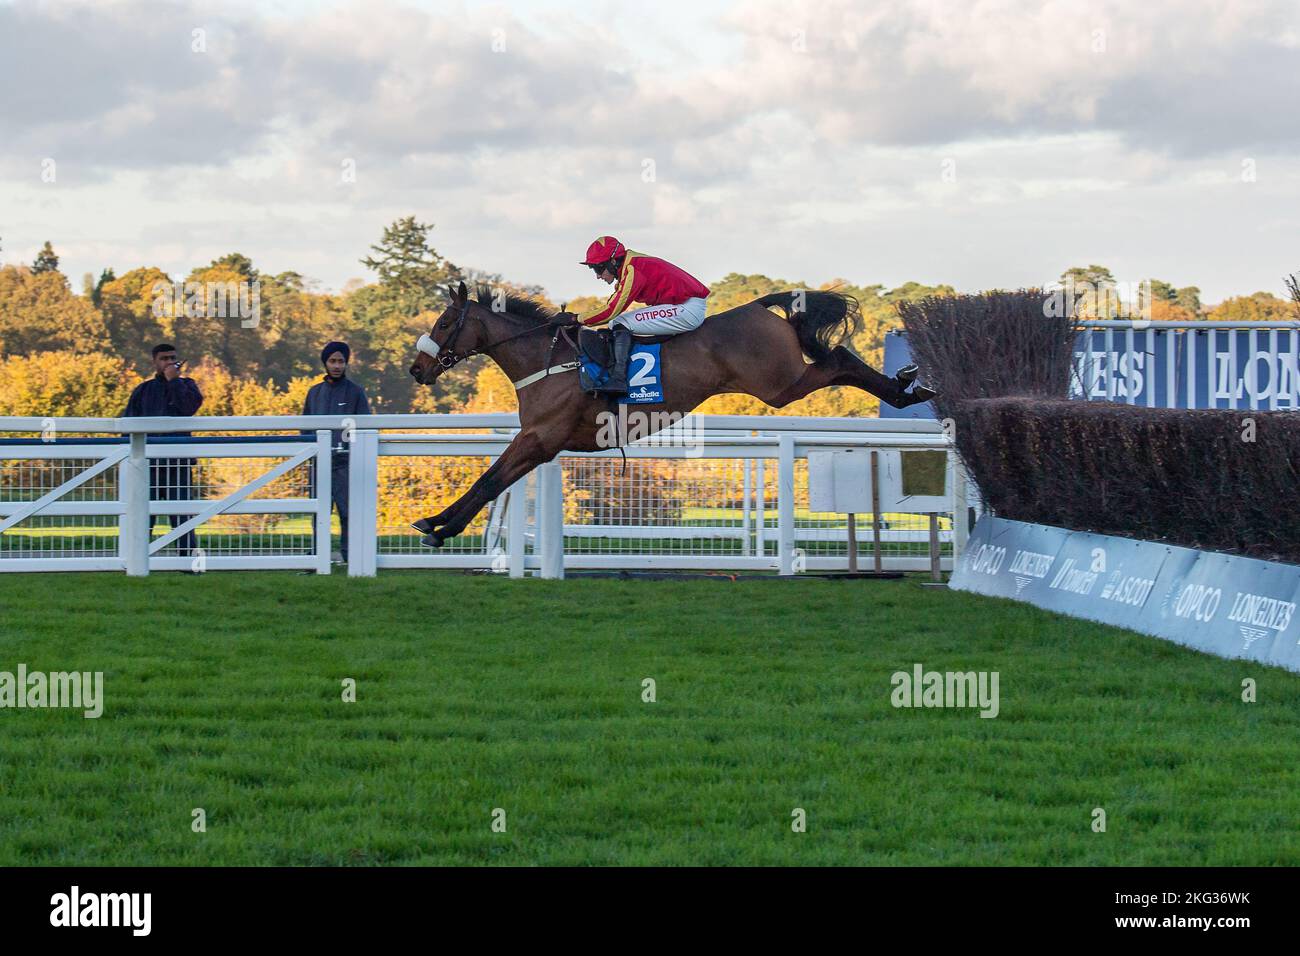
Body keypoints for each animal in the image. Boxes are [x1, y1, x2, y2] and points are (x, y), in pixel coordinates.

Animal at [407, 281, 934, 548]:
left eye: (444, 322)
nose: (416, 368)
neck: (550, 359)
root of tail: (758, 306)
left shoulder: (540, 438)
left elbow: (487, 480)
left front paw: (439, 528)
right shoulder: (541, 442)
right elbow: (490, 479)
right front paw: (437, 522)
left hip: (781, 384)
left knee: (839, 359)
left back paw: (907, 388)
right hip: (782, 382)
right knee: (837, 359)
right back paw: (908, 387)